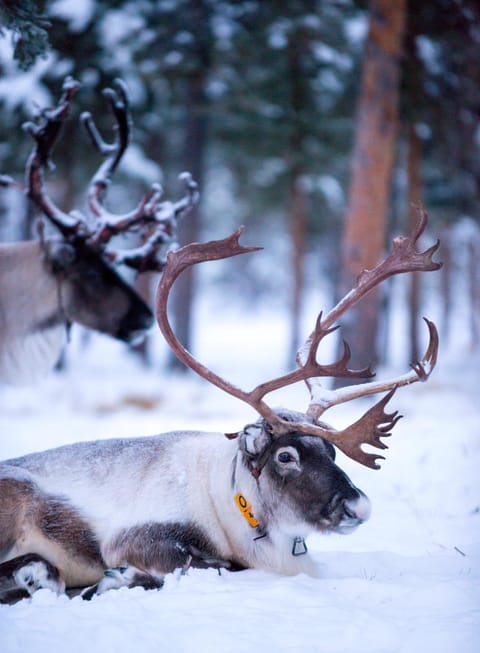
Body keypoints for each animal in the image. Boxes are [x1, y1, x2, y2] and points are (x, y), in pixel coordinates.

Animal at [0, 211, 441, 603]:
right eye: (285, 456)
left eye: (331, 451)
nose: (357, 506)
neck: (232, 501)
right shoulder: (136, 539)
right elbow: (215, 565)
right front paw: (115, 580)